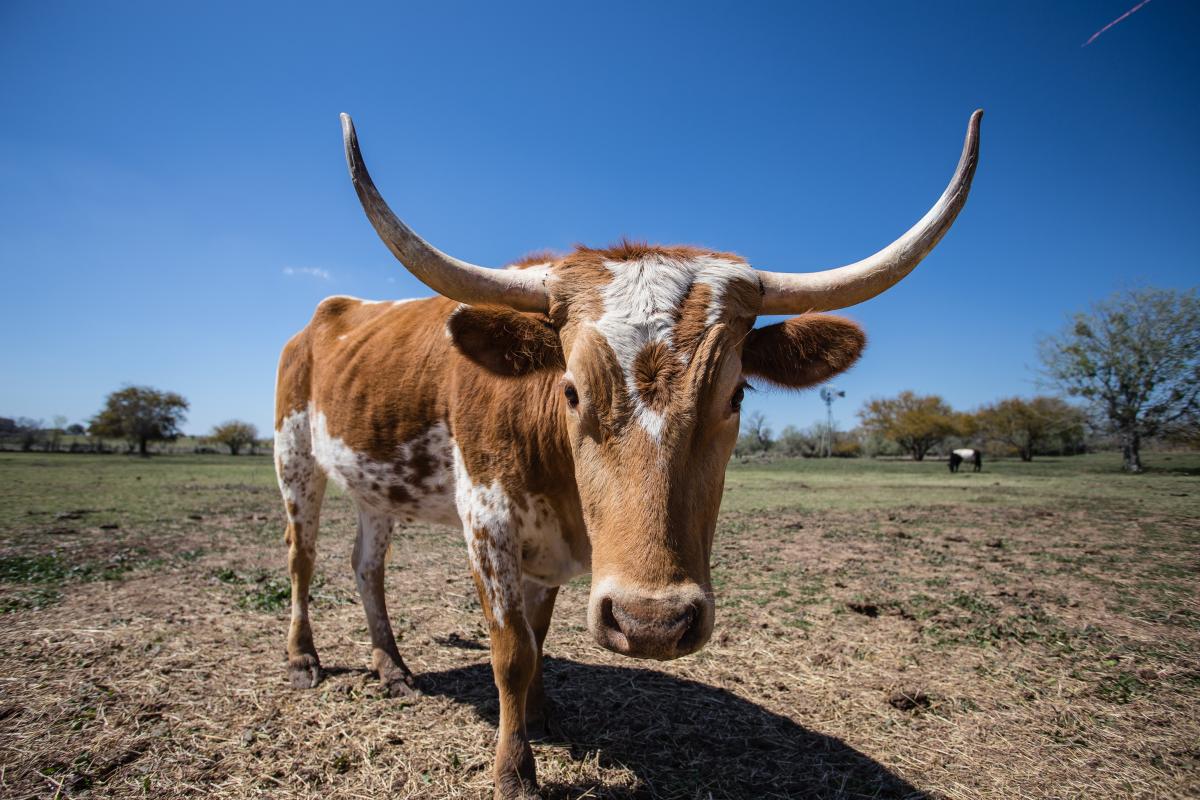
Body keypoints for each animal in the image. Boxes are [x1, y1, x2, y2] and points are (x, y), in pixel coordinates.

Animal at [274, 110, 981, 799]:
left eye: (737, 394)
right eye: (571, 389)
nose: (652, 624)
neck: (563, 487)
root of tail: (322, 316)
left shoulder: (548, 551)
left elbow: (539, 637)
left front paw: (541, 718)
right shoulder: (487, 521)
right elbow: (512, 650)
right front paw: (514, 770)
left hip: (375, 487)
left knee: (367, 566)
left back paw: (391, 667)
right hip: (294, 462)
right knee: (302, 560)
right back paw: (304, 660)